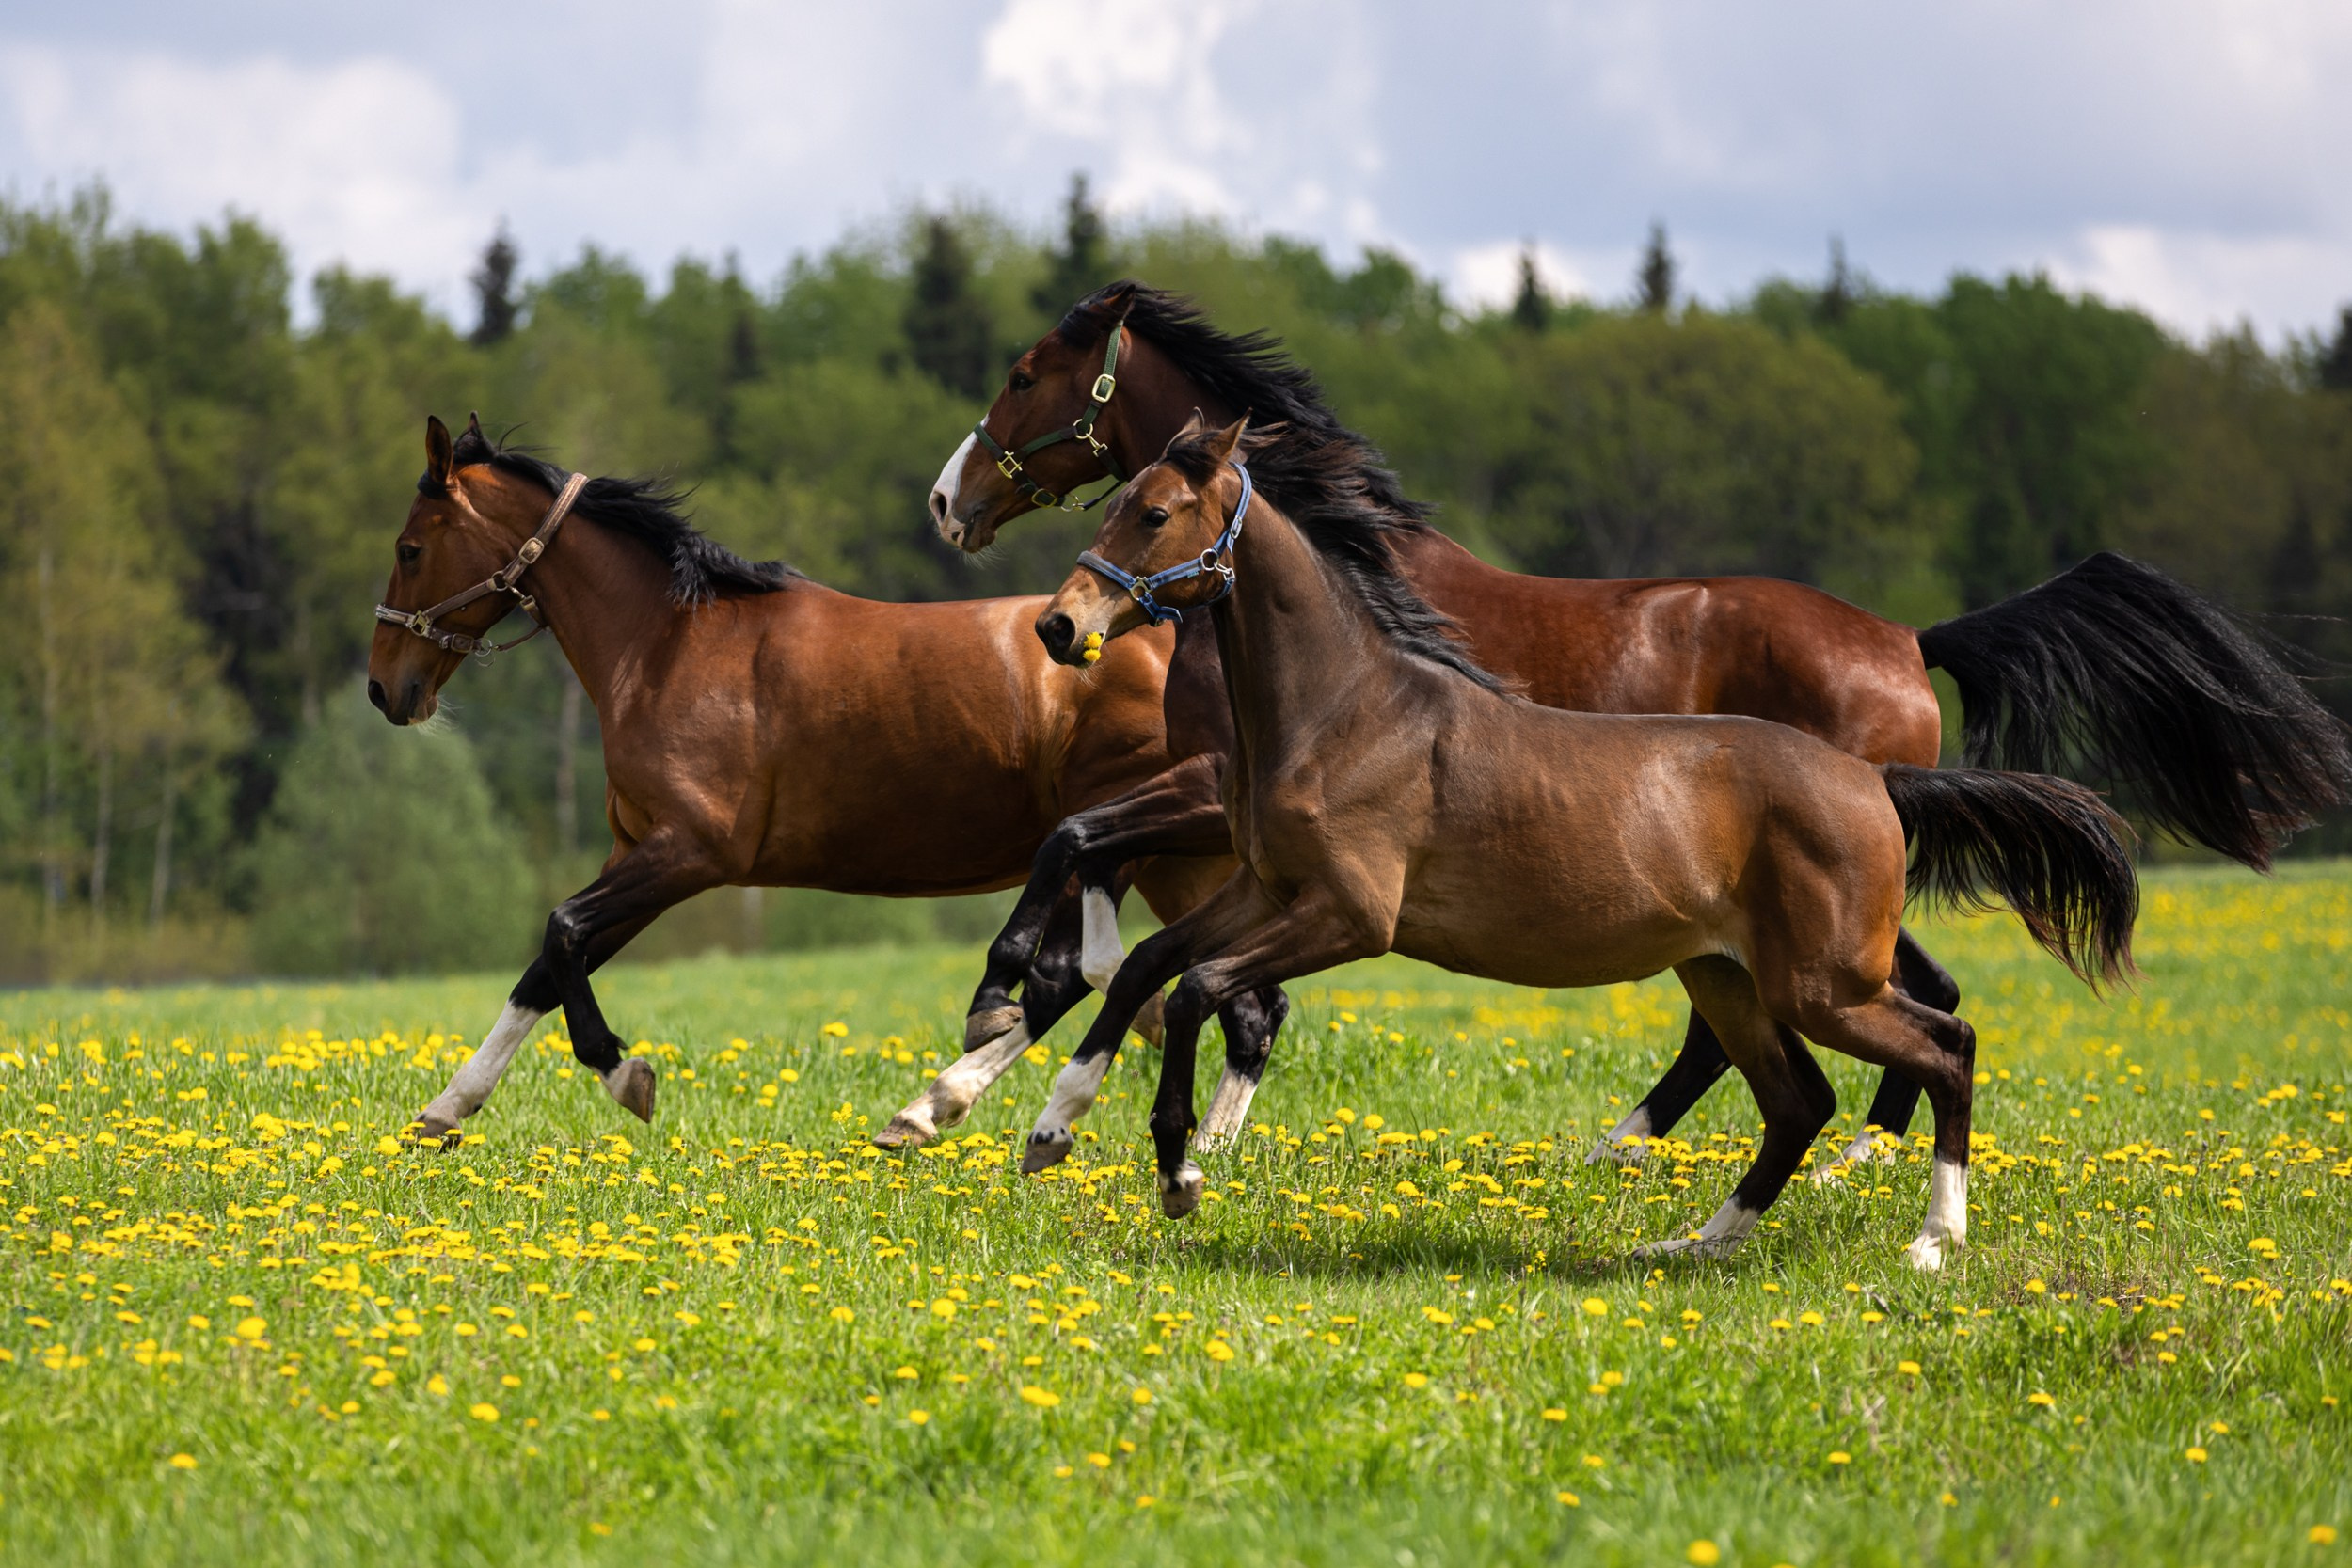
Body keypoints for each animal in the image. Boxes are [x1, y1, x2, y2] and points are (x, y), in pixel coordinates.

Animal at [367, 414, 1236, 1140]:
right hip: (1180, 857)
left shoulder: (691, 854)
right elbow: (543, 971)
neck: (666, 644)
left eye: (410, 548)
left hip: (1131, 838)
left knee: (1076, 977)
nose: (384, 689)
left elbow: (562, 929)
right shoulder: (638, 854)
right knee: (1225, 993)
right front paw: (446, 1109)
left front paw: (625, 1073)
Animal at [897, 280, 2350, 1169]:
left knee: (1878, 1004)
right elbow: (1114, 895)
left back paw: (1804, 1154)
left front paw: (982, 1045)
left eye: (1025, 373)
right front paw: (1031, 1079)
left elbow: (1081, 856)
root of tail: (1907, 636)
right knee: (1817, 1007)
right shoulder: (1234, 810)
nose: (945, 497)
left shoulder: (1209, 782)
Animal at [1022, 414, 2141, 1270]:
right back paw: (1692, 1243)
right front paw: (1050, 1127)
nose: (1057, 626)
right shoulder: (1265, 890)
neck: (1345, 708)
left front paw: (1179, 1172)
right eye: (1114, 500)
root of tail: (1877, 780)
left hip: (1824, 982)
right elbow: (1149, 968)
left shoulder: (1350, 915)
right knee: (1798, 1100)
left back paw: (1931, 1240)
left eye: (1154, 512)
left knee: (1946, 1043)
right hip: (1730, 977)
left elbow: (1194, 988)